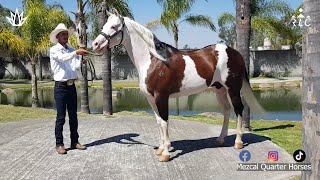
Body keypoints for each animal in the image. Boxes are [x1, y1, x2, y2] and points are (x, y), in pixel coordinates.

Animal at [92, 9, 262, 162]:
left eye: (114, 26)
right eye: (104, 25)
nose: (95, 44)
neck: (155, 61)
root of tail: (235, 52)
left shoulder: (161, 97)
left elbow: (164, 121)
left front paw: (166, 154)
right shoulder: (151, 99)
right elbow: (158, 121)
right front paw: (161, 149)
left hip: (233, 89)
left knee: (238, 110)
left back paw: (238, 142)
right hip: (219, 89)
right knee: (226, 111)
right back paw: (220, 139)